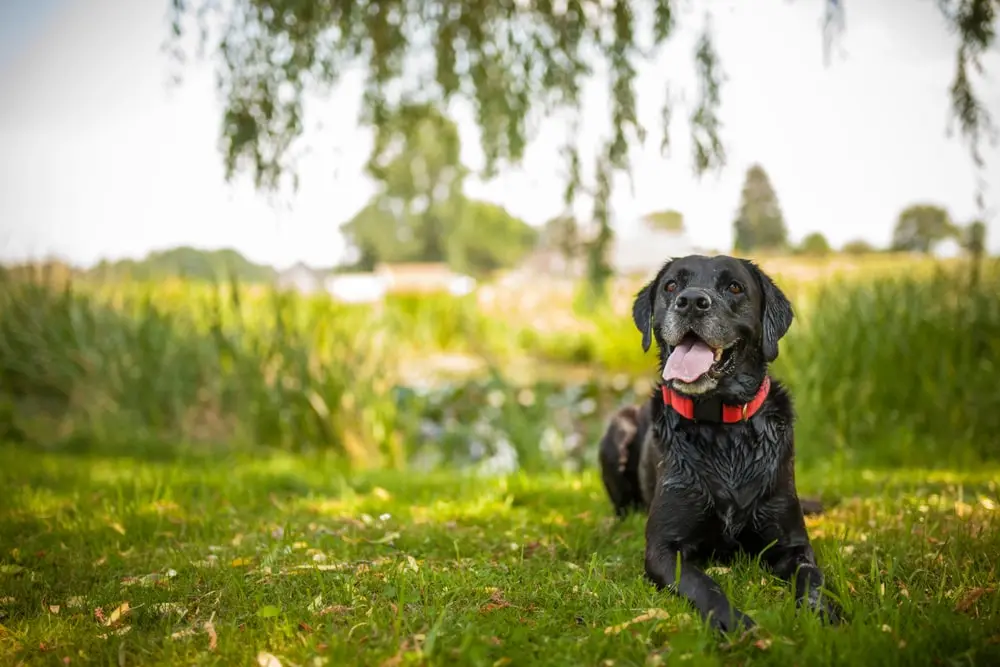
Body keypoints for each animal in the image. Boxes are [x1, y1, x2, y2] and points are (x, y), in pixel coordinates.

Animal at [596, 253, 840, 636]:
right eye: (671, 286)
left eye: (735, 287)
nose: (691, 301)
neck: (722, 429)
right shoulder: (663, 548)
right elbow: (704, 584)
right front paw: (737, 625)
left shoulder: (792, 542)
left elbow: (812, 577)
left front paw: (823, 614)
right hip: (616, 430)